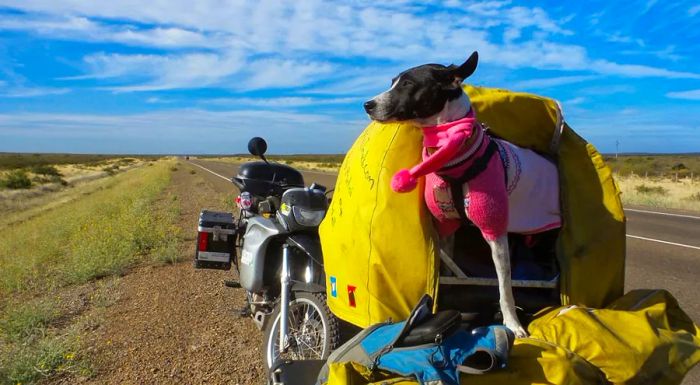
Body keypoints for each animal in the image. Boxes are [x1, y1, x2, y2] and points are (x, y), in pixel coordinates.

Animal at [364, 51, 560, 336]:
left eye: (408, 84)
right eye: (393, 82)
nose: (367, 104)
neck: (455, 157)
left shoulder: (495, 229)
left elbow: (505, 287)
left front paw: (512, 323)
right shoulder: (447, 227)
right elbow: (447, 271)